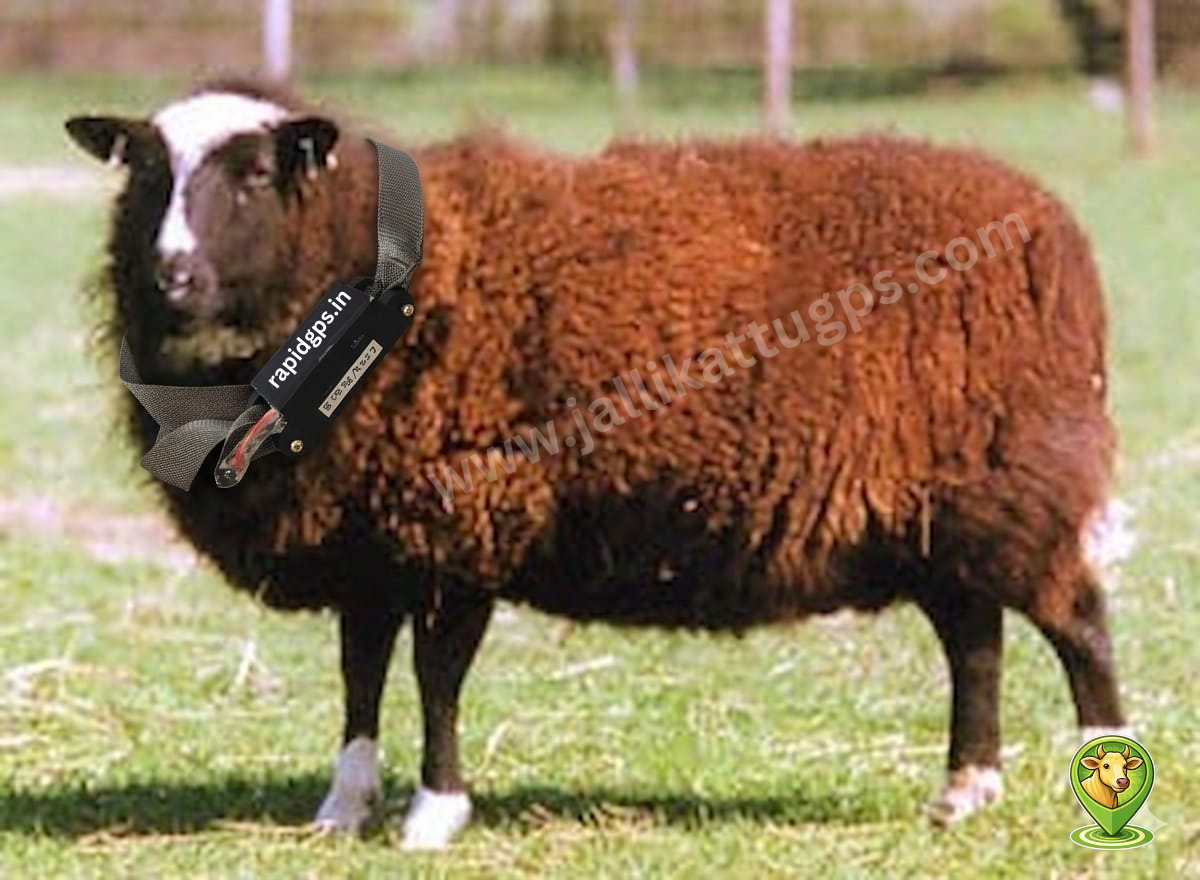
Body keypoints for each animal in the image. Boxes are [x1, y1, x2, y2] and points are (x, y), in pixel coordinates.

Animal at [64, 77, 1131, 847]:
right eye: (145, 174)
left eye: (251, 176)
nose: (172, 275)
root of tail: (1048, 223)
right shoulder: (371, 534)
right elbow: (361, 672)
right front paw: (343, 807)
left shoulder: (461, 518)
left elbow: (437, 676)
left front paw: (434, 815)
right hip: (943, 509)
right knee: (975, 638)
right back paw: (964, 790)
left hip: (1011, 483)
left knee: (1076, 621)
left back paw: (1103, 763)